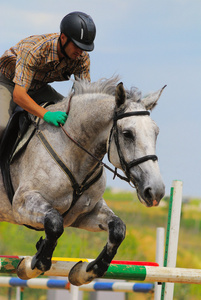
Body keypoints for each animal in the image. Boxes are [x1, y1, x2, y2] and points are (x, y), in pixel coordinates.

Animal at [0, 76, 165, 284]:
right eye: (127, 134)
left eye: (156, 133)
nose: (156, 191)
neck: (74, 154)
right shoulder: (22, 203)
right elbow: (54, 223)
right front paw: (35, 262)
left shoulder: (84, 214)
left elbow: (118, 229)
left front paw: (88, 270)